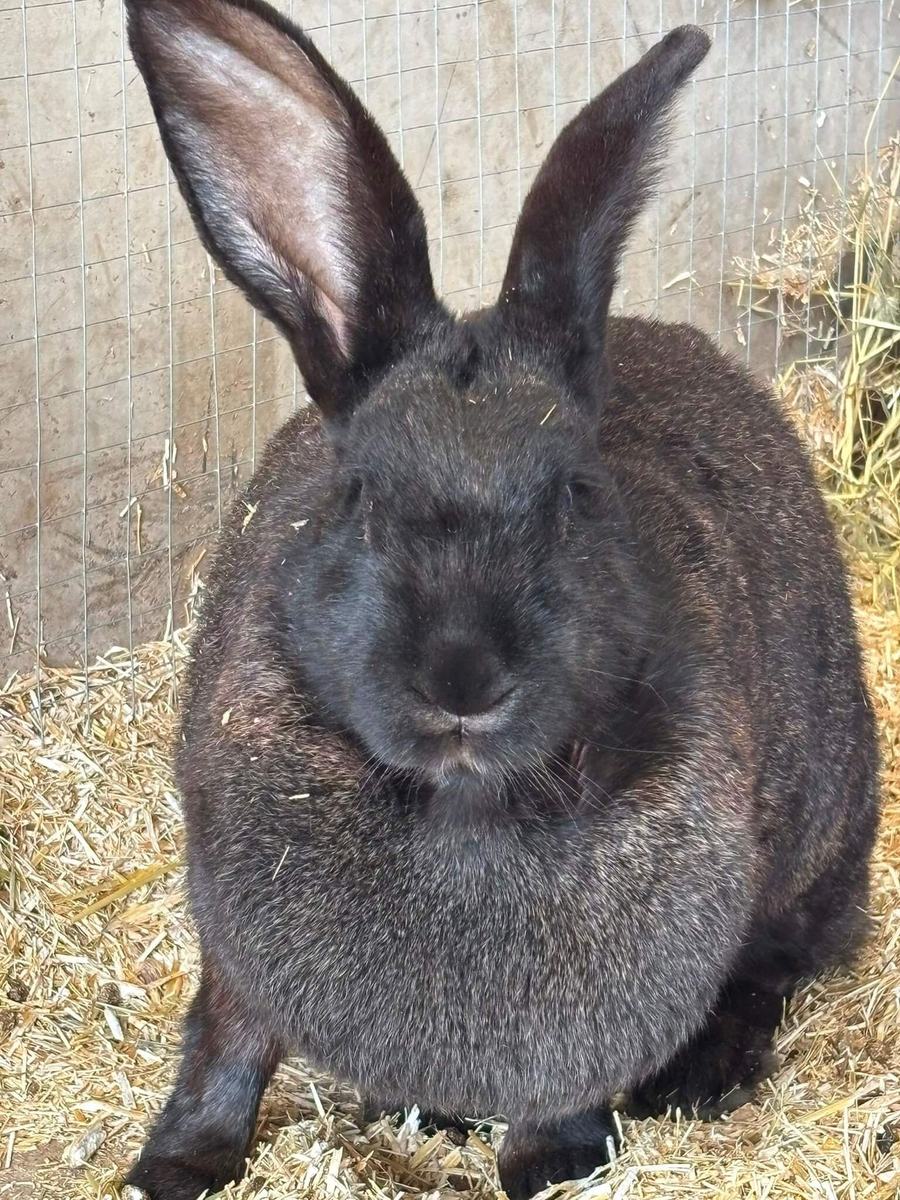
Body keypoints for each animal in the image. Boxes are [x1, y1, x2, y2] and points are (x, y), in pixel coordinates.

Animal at [123, 1, 879, 1197]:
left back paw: (701, 1078)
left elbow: (563, 1088)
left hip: (819, 832)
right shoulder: (233, 939)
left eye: (575, 494)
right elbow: (224, 1044)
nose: (464, 678)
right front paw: (173, 1168)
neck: (462, 804)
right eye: (362, 496)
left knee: (779, 962)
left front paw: (552, 1165)